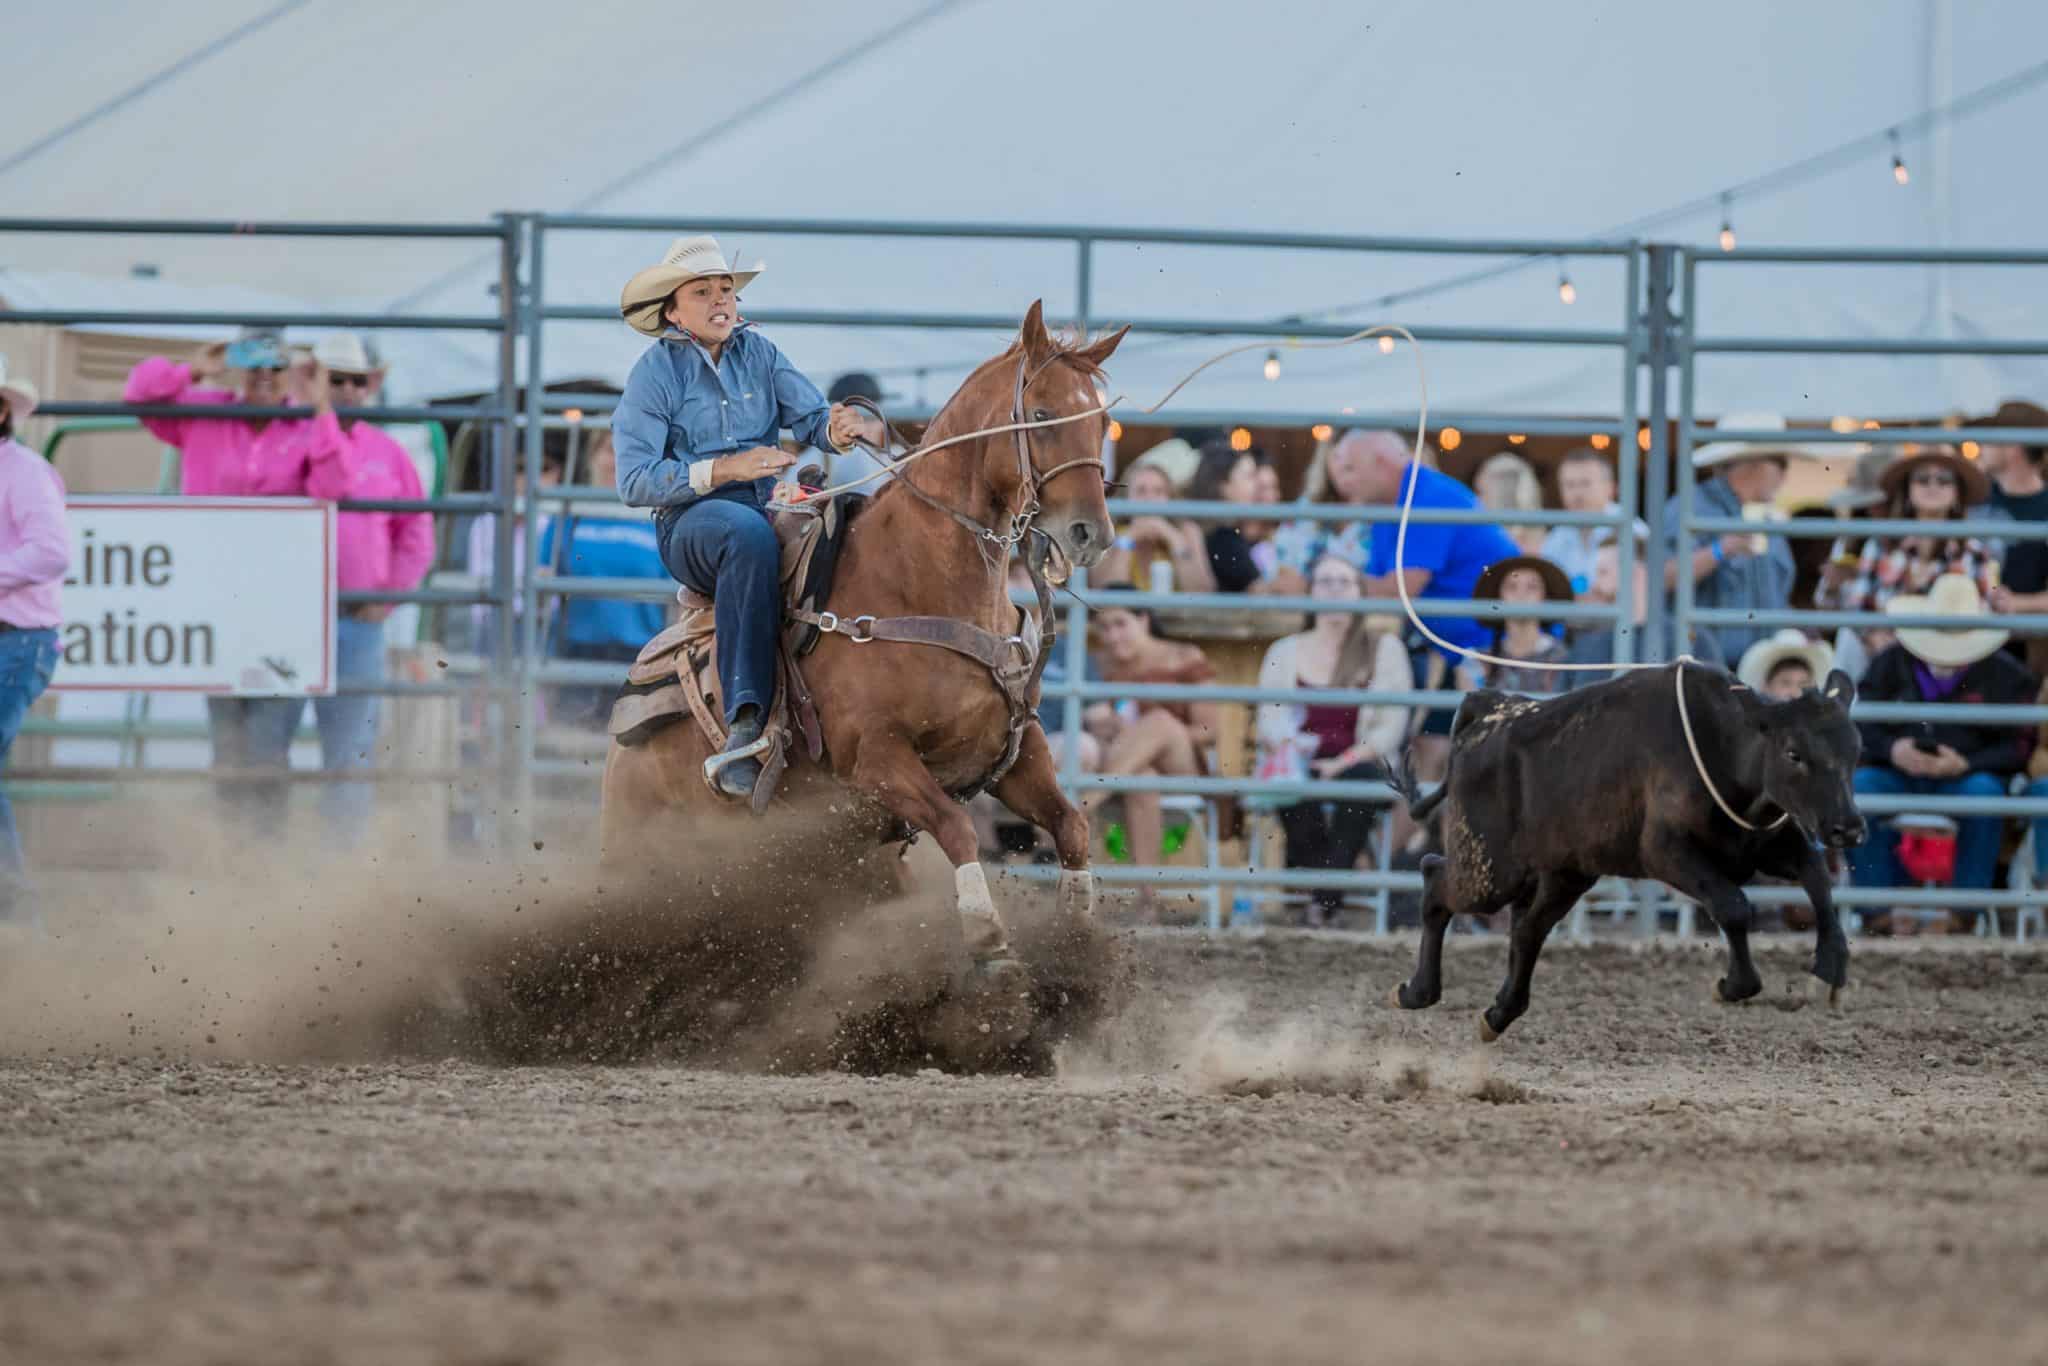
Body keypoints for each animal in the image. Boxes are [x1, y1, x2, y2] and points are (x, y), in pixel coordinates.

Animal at [1384, 661, 1866, 1042]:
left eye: (1854, 753)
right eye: (1793, 753)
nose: (1849, 828)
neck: (1723, 753)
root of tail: (1486, 712)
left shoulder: (1765, 844)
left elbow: (1817, 877)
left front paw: (1830, 966)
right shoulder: (1665, 853)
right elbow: (1733, 906)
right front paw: (1732, 985)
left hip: (1565, 873)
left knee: (1526, 931)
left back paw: (1499, 1012)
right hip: (1489, 871)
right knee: (1435, 880)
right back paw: (1417, 991)